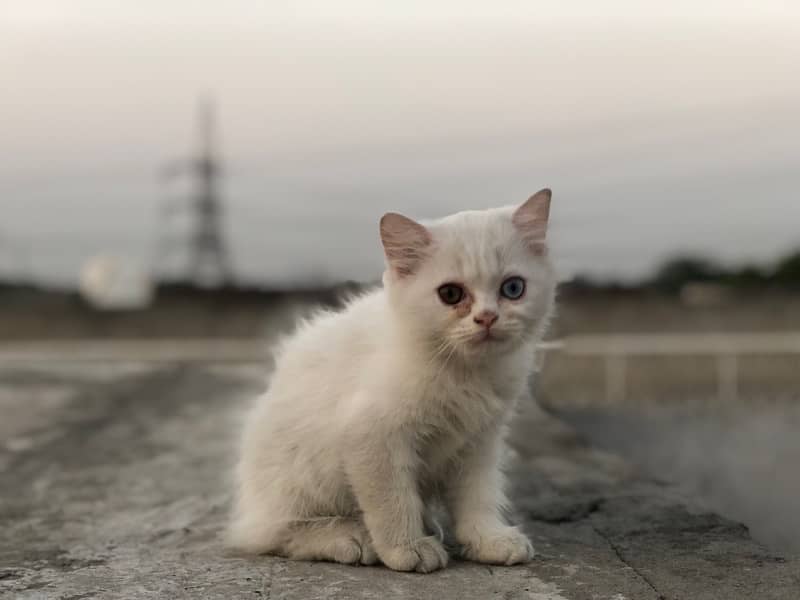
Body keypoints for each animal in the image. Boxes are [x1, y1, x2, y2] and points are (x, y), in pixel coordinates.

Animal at [228, 189, 556, 572]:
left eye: (513, 288)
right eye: (451, 295)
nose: (487, 317)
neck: (465, 372)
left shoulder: (479, 441)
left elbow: (478, 495)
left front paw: (487, 539)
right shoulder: (372, 435)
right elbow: (392, 500)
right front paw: (406, 547)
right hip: (301, 476)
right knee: (274, 534)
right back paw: (349, 536)